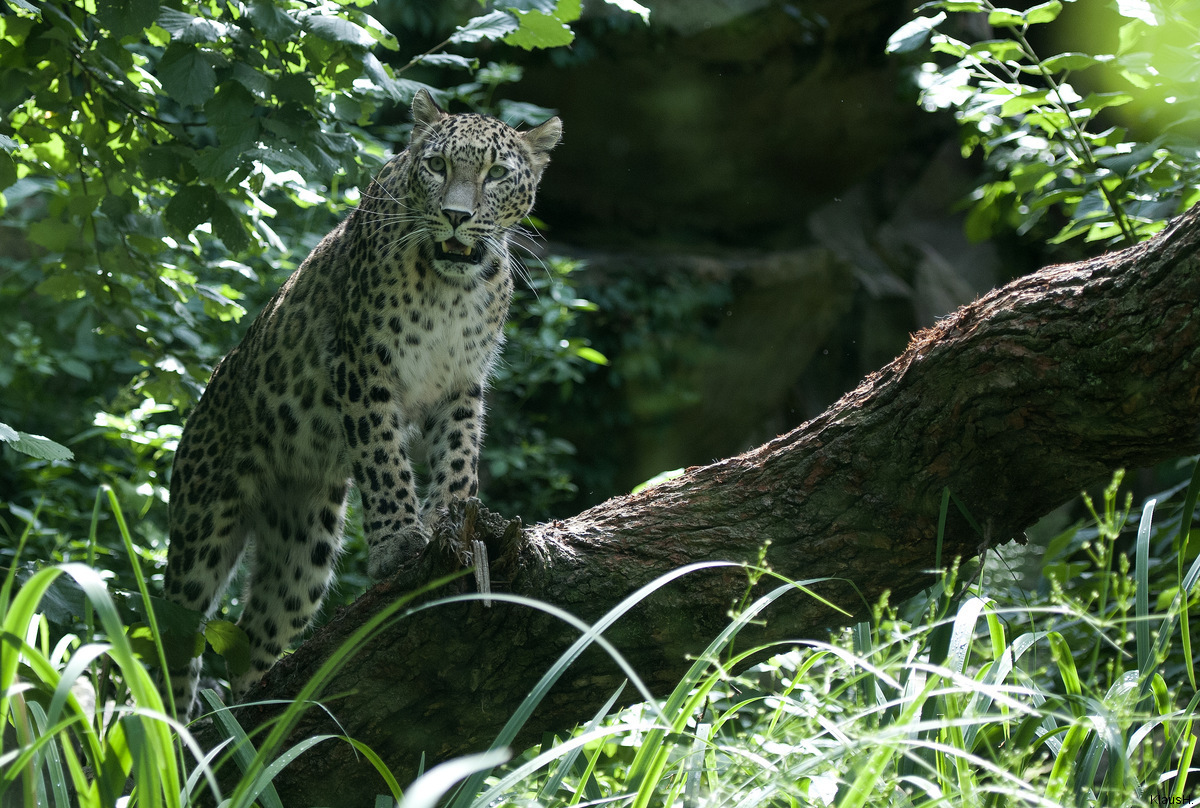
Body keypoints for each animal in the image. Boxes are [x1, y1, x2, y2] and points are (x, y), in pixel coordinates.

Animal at [162, 90, 564, 720]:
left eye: (496, 174)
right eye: (436, 166)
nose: (456, 215)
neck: (454, 287)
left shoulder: (462, 383)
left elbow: (459, 459)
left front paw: (449, 517)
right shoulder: (363, 367)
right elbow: (383, 460)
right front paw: (399, 542)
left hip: (303, 552)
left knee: (254, 637)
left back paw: (252, 720)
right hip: (201, 527)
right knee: (175, 642)